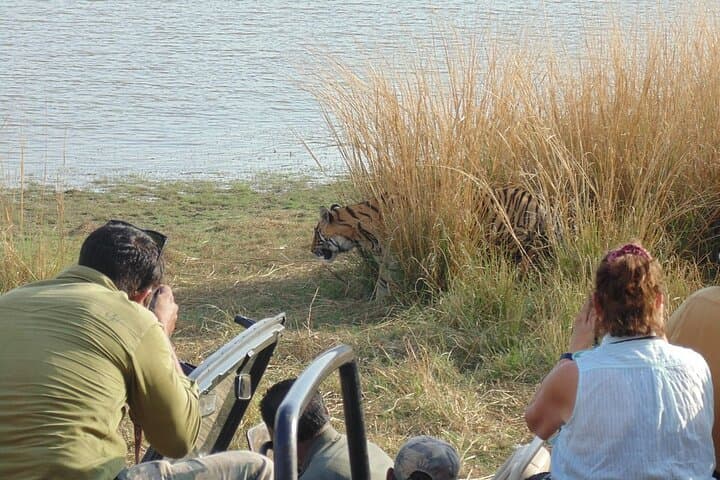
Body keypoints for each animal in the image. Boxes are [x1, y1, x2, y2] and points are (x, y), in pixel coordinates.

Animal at [311, 187, 557, 300]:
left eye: (317, 234)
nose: (312, 250)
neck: (357, 231)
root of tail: (535, 197)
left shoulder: (393, 252)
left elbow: (384, 278)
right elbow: (383, 279)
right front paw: (379, 300)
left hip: (512, 237)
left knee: (530, 257)